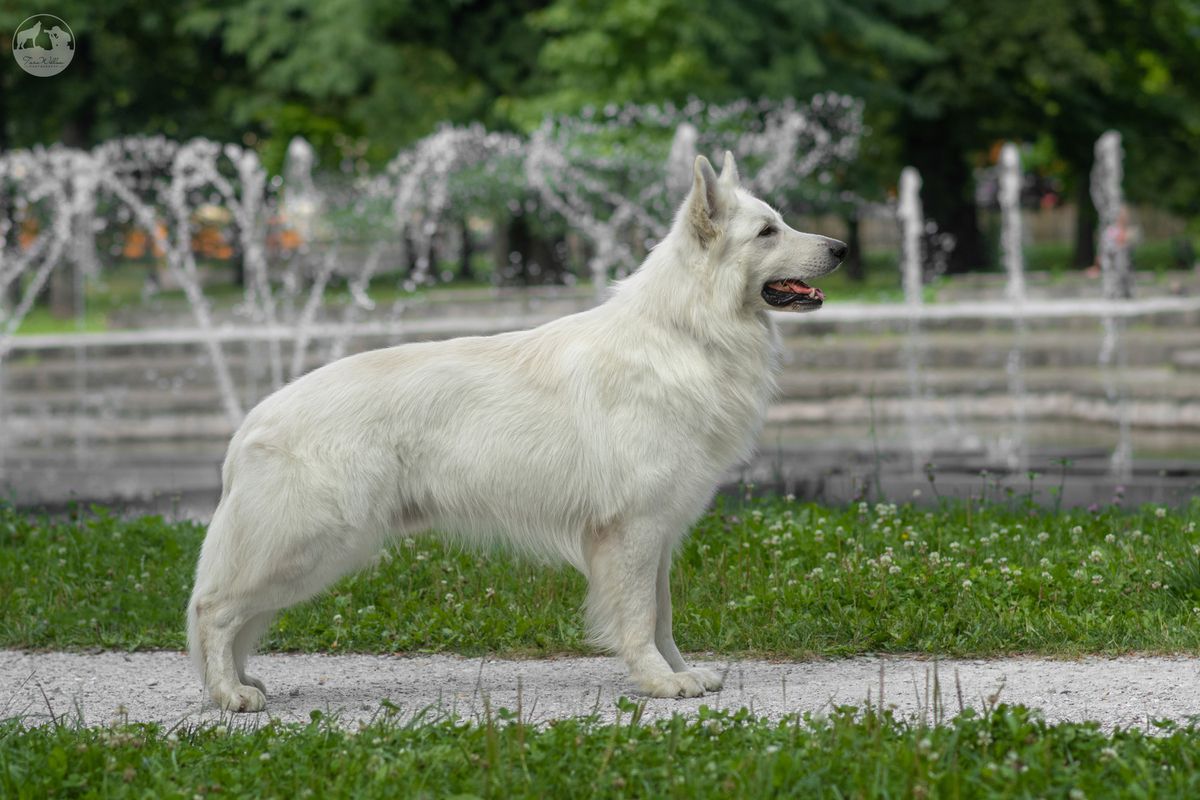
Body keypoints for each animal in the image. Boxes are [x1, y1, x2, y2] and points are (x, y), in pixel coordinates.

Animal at [187, 151, 844, 714]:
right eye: (767, 233)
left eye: (780, 223)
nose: (840, 248)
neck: (686, 330)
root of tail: (249, 422)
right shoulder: (631, 531)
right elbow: (638, 619)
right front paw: (659, 682)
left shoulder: (657, 533)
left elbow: (661, 616)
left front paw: (682, 672)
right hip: (311, 544)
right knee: (214, 609)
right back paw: (228, 694)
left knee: (233, 617)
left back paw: (242, 681)